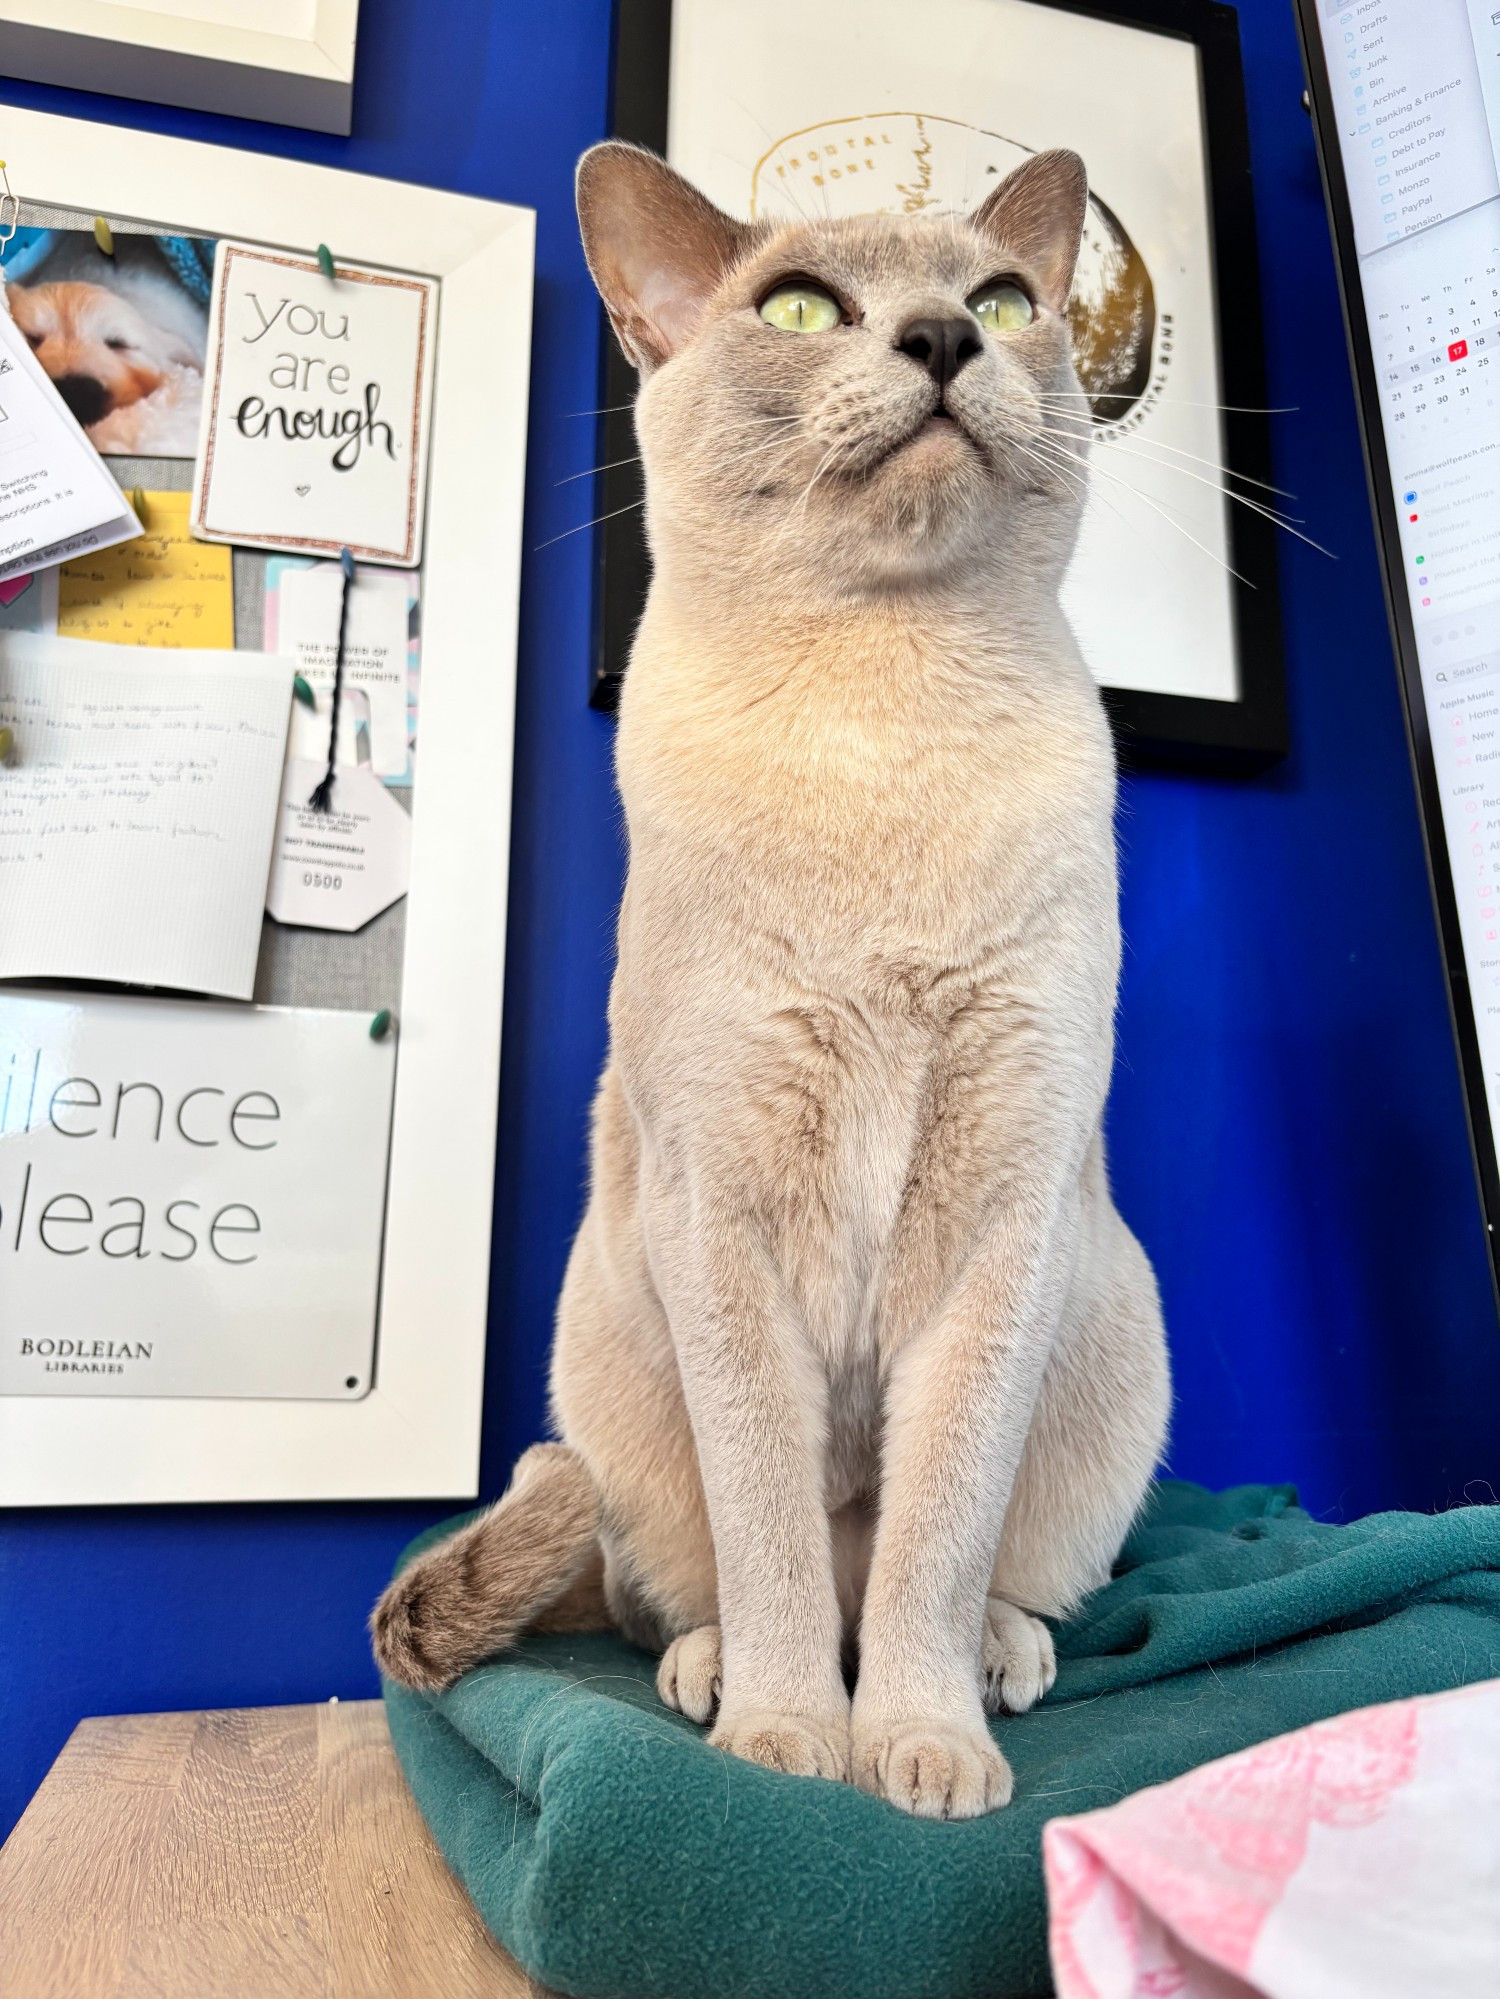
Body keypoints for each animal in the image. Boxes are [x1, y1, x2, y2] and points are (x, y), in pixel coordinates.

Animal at [370, 144, 1168, 1831]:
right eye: (803, 310)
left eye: (1005, 301)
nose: (944, 338)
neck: (881, 725)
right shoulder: (719, 1214)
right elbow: (777, 1538)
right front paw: (791, 1746)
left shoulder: (1004, 1219)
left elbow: (935, 1535)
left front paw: (924, 1759)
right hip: (611, 1359)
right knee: (688, 1584)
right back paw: (718, 1677)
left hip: (1111, 1335)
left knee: (962, 1577)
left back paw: (994, 1667)